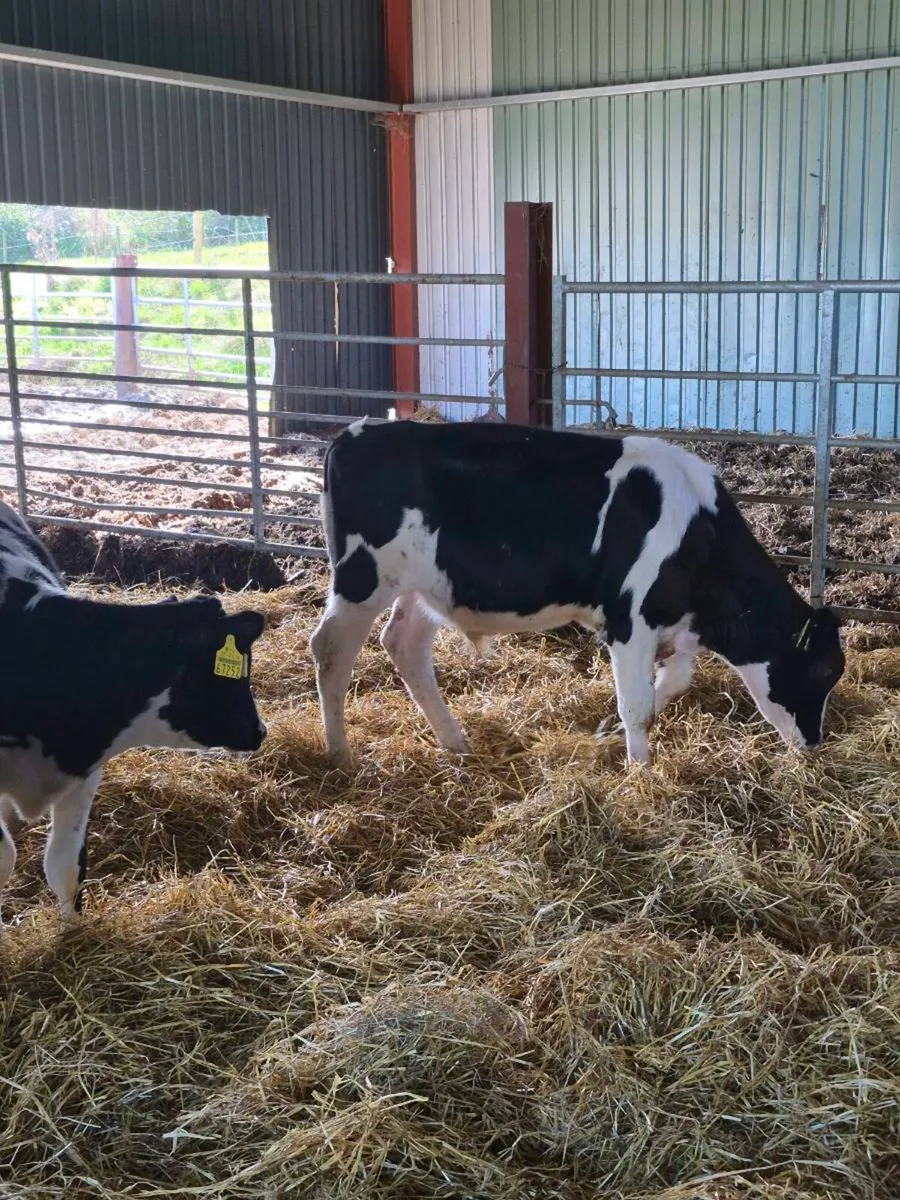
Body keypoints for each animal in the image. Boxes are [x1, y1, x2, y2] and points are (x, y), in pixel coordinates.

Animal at [0, 501, 266, 921]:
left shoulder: (83, 772)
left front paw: (74, 931)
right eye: (227, 672)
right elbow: (4, 858)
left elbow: (65, 867)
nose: (261, 731)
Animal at [310, 419, 845, 767]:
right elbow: (637, 702)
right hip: (362, 578)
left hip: (426, 587)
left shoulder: (672, 620)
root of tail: (354, 434)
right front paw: (639, 770)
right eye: (822, 671)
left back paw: (454, 741)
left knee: (404, 646)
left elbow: (672, 682)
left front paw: (613, 732)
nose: (814, 744)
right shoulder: (630, 620)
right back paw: (340, 754)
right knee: (330, 649)